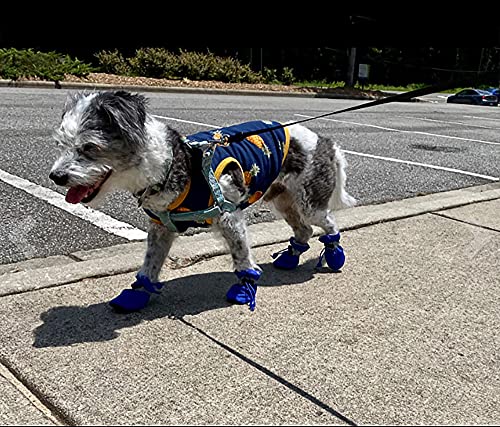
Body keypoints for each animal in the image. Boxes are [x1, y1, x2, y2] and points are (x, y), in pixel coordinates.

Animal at [48, 90, 356, 312]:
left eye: (90, 147)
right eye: (61, 144)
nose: (56, 176)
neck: (173, 162)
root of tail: (326, 141)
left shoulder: (230, 217)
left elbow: (241, 256)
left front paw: (245, 287)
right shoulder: (161, 227)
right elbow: (150, 263)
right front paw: (138, 293)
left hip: (309, 201)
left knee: (328, 224)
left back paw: (333, 253)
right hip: (283, 200)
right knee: (303, 229)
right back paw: (291, 257)